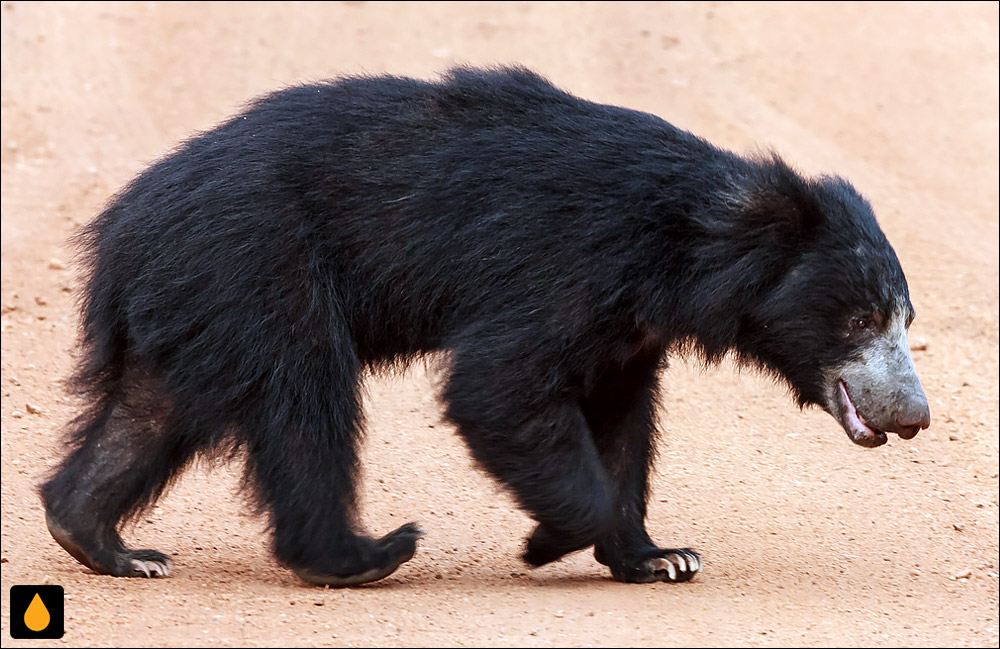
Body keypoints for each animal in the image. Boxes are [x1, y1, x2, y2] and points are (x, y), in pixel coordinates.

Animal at [39, 68, 928, 584]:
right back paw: (362, 555)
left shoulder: (628, 329)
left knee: (149, 410)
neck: (688, 246)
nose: (915, 414)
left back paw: (102, 540)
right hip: (266, 264)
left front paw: (658, 555)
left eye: (905, 318)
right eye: (860, 317)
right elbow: (499, 386)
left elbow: (618, 419)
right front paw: (548, 541)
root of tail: (121, 225)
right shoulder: (570, 263)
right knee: (306, 404)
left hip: (204, 297)